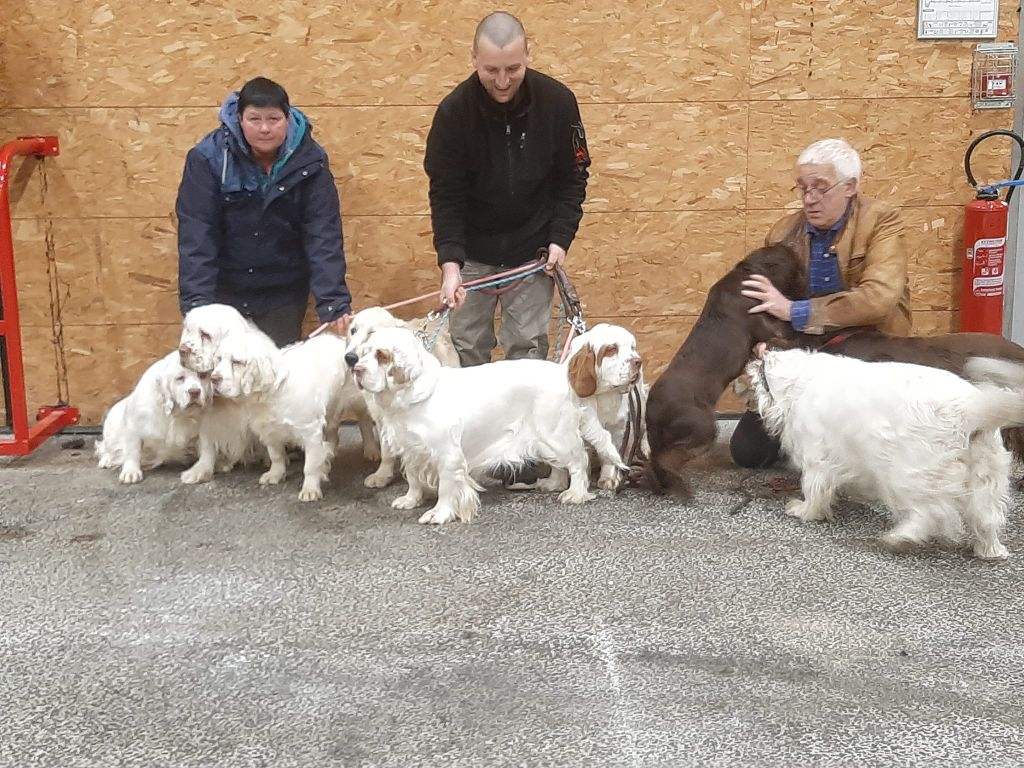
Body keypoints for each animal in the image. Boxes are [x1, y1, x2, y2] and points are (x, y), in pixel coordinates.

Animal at [95, 352, 210, 483]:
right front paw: (131, 472)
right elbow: (132, 450)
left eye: (203, 375)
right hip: (112, 428)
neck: (176, 413)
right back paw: (106, 460)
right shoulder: (133, 425)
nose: (194, 392)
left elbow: (206, 451)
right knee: (106, 447)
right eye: (180, 378)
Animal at [352, 327, 622, 528]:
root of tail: (564, 374)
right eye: (363, 354)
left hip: (555, 433)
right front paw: (410, 500)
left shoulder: (447, 455)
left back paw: (575, 494)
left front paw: (439, 513)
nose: (356, 369)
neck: (413, 396)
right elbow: (414, 479)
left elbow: (447, 488)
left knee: (578, 461)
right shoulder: (412, 449)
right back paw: (553, 484)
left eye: (382, 355)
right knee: (561, 464)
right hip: (547, 440)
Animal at [565, 323, 643, 489]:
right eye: (612, 348)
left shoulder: (617, 427)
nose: (638, 361)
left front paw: (609, 478)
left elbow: (610, 453)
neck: (600, 395)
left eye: (632, 347)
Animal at [749, 348, 1019, 561]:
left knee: (930, 513)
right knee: (987, 518)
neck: (799, 382)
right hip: (986, 476)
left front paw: (804, 511)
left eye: (759, 381)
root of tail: (968, 410)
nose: (752, 362)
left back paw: (901, 537)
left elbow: (815, 490)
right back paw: (991, 550)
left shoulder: (818, 458)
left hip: (908, 474)